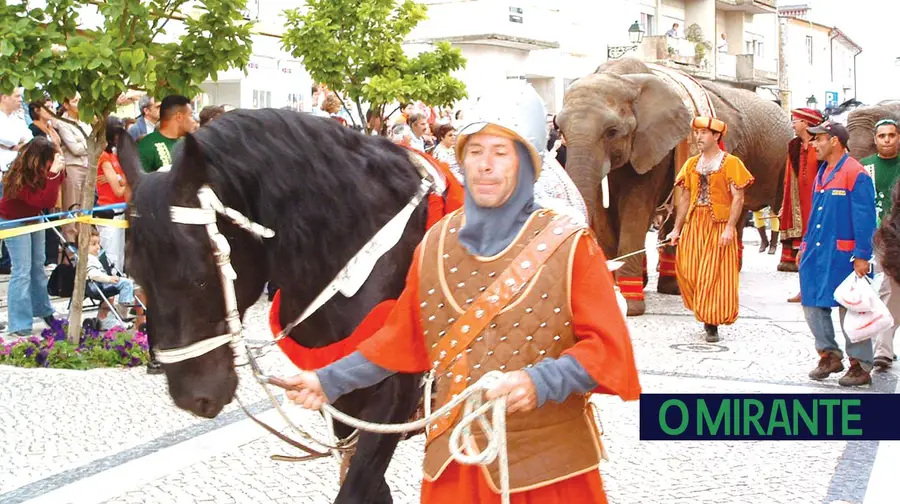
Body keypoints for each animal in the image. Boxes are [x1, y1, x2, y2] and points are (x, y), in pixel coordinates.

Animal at [560, 58, 792, 316]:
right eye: (559, 129)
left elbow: (635, 210)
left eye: (612, 132)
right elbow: (603, 212)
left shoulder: (655, 146)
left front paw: (629, 306)